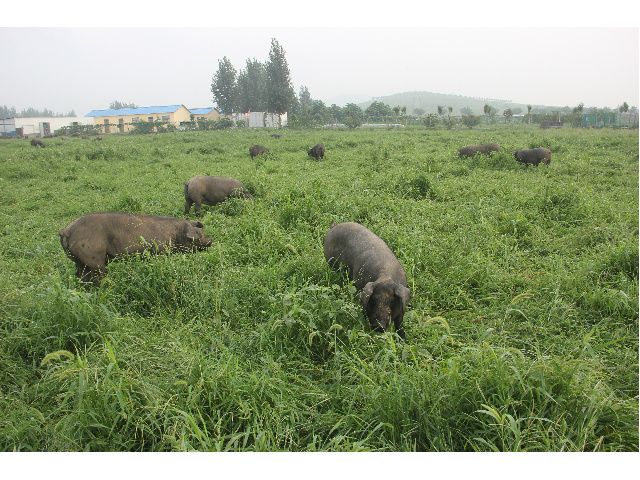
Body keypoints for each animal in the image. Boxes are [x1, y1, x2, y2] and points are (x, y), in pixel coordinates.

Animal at [58, 213, 212, 286]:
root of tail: (65, 230)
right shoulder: (161, 250)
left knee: (81, 276)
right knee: (97, 277)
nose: (210, 240)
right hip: (94, 258)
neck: (177, 234)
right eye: (199, 236)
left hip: (79, 261)